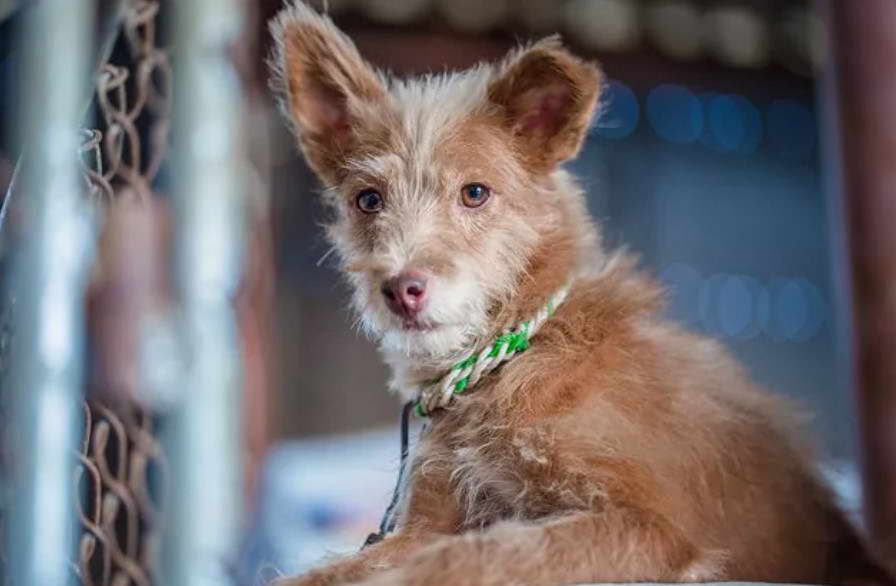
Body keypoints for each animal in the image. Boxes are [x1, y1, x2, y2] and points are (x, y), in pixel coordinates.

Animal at [268, 2, 880, 580]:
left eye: (474, 192)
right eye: (368, 200)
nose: (401, 289)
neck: (511, 357)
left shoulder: (649, 523)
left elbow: (486, 555)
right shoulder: (425, 520)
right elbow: (332, 571)